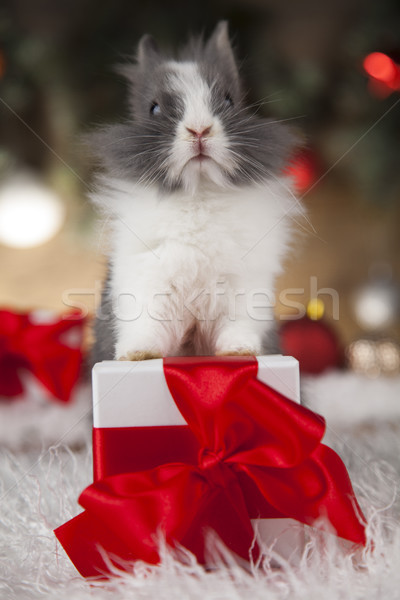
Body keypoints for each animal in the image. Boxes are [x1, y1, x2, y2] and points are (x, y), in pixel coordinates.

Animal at [91, 19, 304, 360]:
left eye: (230, 100)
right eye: (154, 109)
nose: (200, 130)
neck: (199, 191)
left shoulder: (241, 290)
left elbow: (236, 326)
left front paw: (240, 351)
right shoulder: (148, 285)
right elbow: (148, 328)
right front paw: (137, 355)